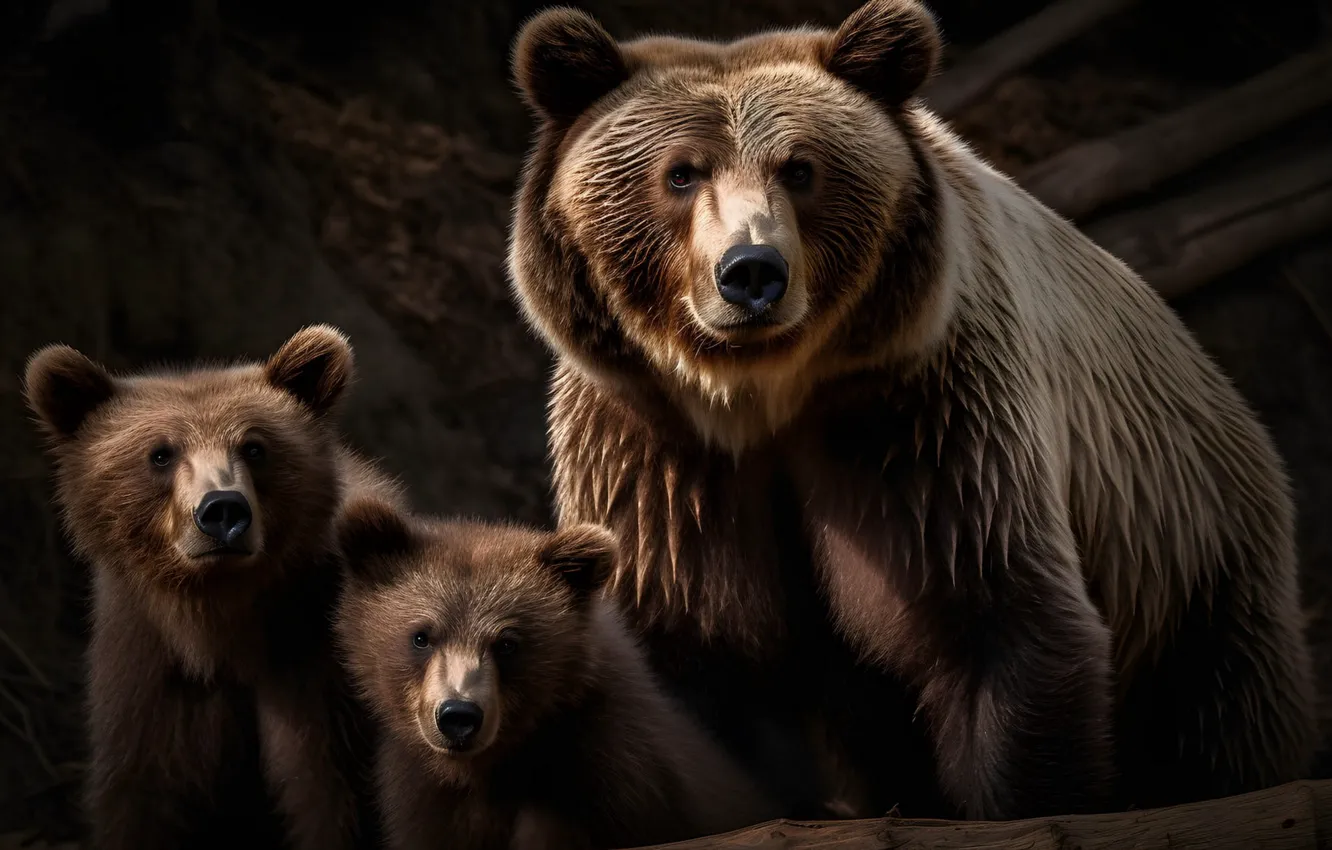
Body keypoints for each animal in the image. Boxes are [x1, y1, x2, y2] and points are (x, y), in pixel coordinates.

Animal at [23, 325, 399, 850]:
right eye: (161, 453)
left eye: (254, 447)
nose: (222, 511)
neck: (214, 622)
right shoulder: (150, 672)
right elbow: (145, 796)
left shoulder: (320, 670)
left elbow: (335, 795)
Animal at [504, 0, 1320, 821]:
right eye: (680, 171)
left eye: (800, 168)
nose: (753, 273)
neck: (762, 392)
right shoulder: (654, 450)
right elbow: (689, 652)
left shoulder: (923, 417)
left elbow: (992, 614)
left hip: (1192, 556)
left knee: (1225, 712)